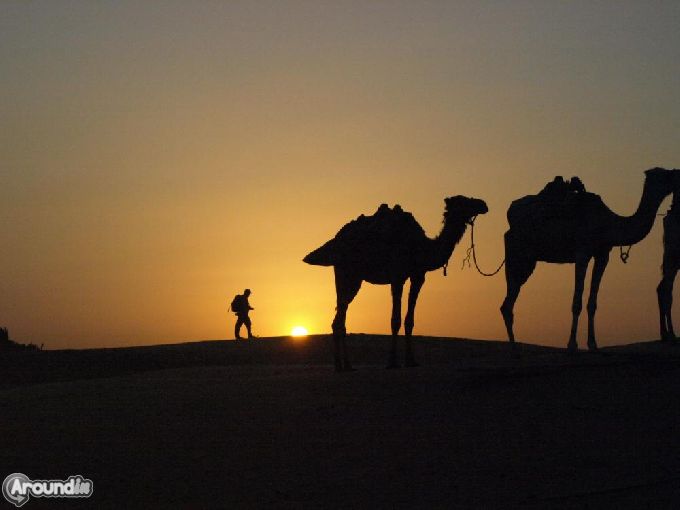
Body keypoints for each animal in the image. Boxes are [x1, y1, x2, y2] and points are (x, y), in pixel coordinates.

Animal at [304, 196, 488, 370]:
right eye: (463, 201)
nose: (483, 204)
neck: (422, 248)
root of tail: (337, 239)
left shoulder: (418, 277)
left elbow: (409, 320)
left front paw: (411, 361)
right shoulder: (397, 276)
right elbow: (395, 320)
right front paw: (392, 362)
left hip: (351, 277)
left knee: (340, 317)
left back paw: (347, 366)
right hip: (348, 273)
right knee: (340, 316)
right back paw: (339, 366)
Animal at [502, 167, 676, 350]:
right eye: (665, 175)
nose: (676, 174)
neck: (608, 223)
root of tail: (510, 214)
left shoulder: (603, 255)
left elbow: (592, 302)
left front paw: (592, 343)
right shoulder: (582, 253)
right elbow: (576, 301)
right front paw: (572, 343)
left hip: (526, 259)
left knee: (508, 301)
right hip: (518, 253)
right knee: (509, 298)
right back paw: (513, 345)